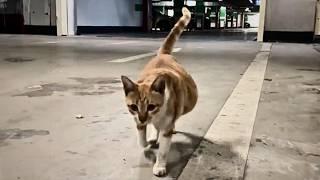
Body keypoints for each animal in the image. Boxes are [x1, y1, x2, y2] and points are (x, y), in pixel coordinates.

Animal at [120, 7, 196, 177]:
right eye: (133, 107)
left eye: (151, 106)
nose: (143, 119)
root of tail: (164, 54)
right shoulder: (137, 120)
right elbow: (141, 140)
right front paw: (147, 142)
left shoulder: (167, 128)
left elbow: (163, 151)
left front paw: (159, 166)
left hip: (190, 100)